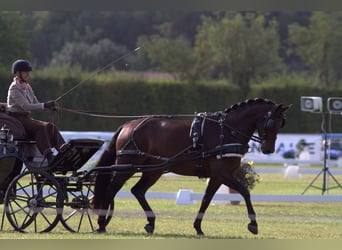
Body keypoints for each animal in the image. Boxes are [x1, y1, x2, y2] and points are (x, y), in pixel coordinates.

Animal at [92, 98, 290, 235]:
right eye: (271, 123)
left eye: (281, 123)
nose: (268, 149)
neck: (226, 131)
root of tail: (128, 124)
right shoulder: (222, 173)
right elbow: (244, 191)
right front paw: (253, 224)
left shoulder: (217, 177)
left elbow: (206, 200)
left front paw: (198, 227)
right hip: (126, 166)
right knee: (111, 189)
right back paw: (102, 222)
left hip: (154, 170)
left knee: (137, 191)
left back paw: (150, 222)